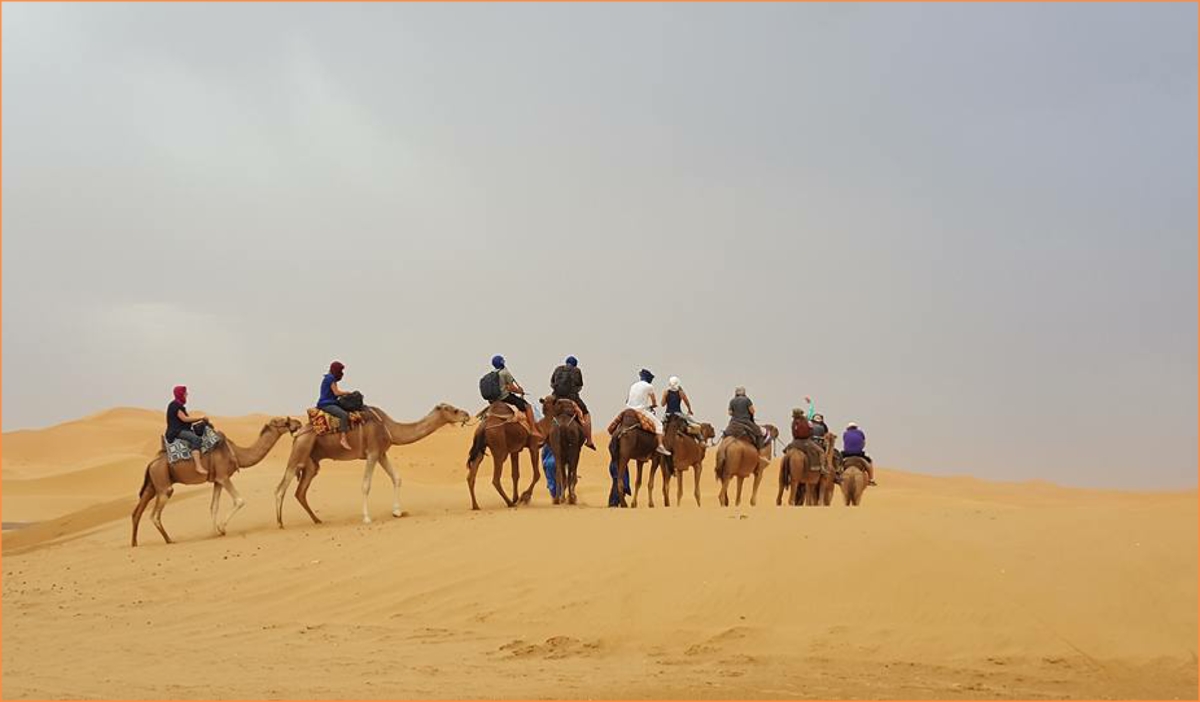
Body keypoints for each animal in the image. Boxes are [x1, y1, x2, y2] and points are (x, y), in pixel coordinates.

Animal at [129, 415, 300, 547]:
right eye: (283, 420)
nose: (298, 422)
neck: (237, 453)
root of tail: (152, 462)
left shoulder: (217, 480)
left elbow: (214, 506)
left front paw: (214, 532)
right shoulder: (224, 477)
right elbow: (239, 500)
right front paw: (221, 529)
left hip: (152, 484)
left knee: (137, 512)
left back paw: (134, 543)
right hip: (163, 482)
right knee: (154, 515)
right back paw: (169, 540)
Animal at [278, 400, 470, 525]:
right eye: (453, 410)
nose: (467, 414)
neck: (389, 427)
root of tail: (298, 433)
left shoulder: (382, 453)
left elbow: (397, 478)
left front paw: (397, 511)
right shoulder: (372, 453)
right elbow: (366, 485)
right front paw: (367, 518)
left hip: (312, 462)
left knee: (300, 492)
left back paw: (317, 520)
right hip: (301, 449)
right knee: (281, 487)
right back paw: (280, 522)